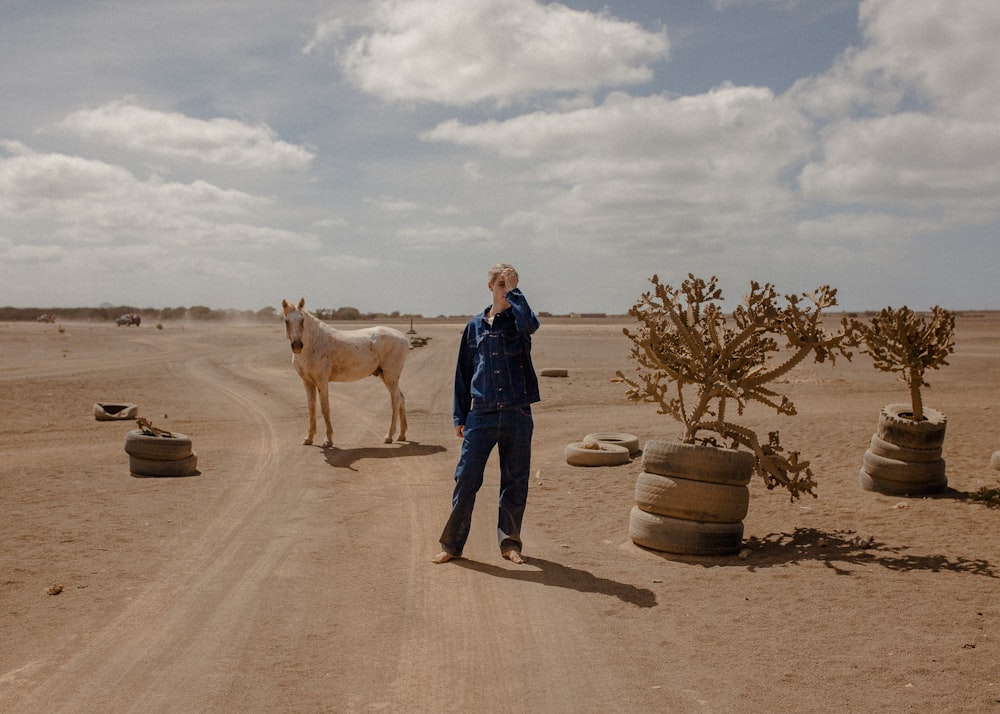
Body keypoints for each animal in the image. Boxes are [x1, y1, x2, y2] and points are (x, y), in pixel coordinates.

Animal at [280, 298, 408, 444]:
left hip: (391, 376)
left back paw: (389, 436)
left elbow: (325, 408)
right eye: (286, 320)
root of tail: (403, 337)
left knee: (395, 401)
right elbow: (311, 408)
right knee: (401, 398)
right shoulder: (308, 382)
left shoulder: (322, 381)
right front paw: (309, 438)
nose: (297, 346)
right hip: (385, 376)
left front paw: (328, 439)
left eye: (302, 320)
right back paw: (402, 435)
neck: (315, 342)